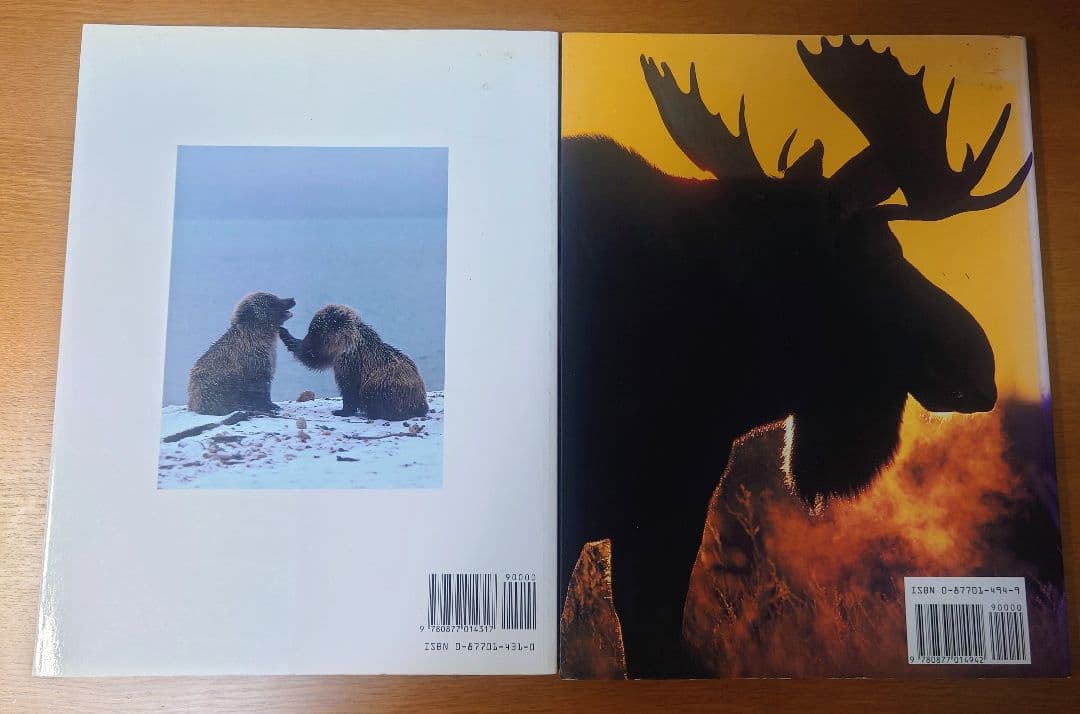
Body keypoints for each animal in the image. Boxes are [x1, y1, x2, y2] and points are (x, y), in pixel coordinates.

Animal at [278, 304, 429, 420]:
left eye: (314, 330)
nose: (307, 343)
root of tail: (421, 403)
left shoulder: (348, 363)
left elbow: (348, 389)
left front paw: (342, 411)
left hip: (387, 385)